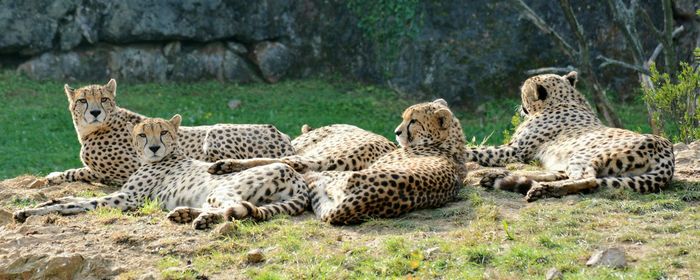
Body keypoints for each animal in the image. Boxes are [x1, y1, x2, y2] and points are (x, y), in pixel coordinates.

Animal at [13, 115, 308, 229]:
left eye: (163, 132)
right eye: (143, 134)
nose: (154, 147)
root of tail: (296, 177)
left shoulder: (127, 199)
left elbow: (77, 204)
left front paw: (30, 211)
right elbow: (69, 198)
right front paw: (44, 202)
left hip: (222, 188)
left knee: (235, 209)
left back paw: (201, 219)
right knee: (232, 208)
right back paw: (184, 213)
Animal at [45, 79, 292, 186]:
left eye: (104, 99)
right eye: (83, 100)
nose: (95, 112)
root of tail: (280, 134)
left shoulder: (131, 169)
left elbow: (84, 171)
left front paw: (58, 176)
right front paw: (54, 175)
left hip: (214, 133)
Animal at [468, 70, 676, 201]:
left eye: (523, 94)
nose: (520, 106)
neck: (566, 99)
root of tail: (666, 151)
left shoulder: (515, 151)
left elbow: (479, 151)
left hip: (583, 156)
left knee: (587, 180)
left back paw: (542, 189)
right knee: (557, 175)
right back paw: (499, 176)